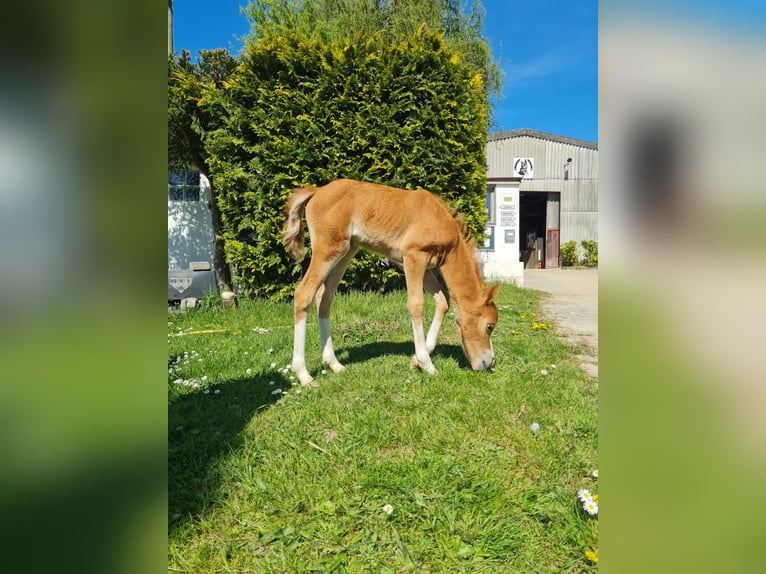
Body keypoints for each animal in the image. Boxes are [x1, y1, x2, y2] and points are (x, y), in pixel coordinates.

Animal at [284, 179, 500, 388]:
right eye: (489, 326)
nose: (490, 362)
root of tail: (317, 191)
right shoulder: (414, 256)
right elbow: (416, 305)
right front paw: (427, 364)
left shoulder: (425, 267)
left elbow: (443, 300)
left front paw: (416, 360)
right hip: (328, 248)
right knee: (303, 293)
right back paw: (303, 375)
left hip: (346, 250)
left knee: (324, 298)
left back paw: (334, 364)